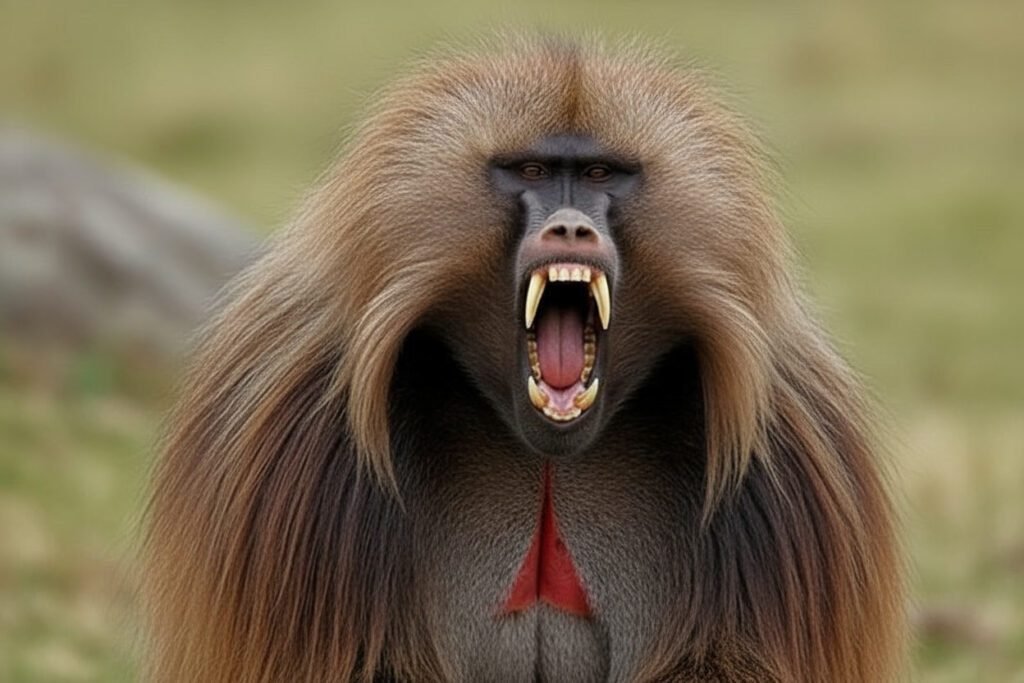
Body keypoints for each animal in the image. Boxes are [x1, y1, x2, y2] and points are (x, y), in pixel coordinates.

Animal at [143, 35, 905, 682]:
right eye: (532, 171)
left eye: (600, 173)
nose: (571, 227)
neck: (546, 450)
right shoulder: (304, 434)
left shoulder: (786, 452)